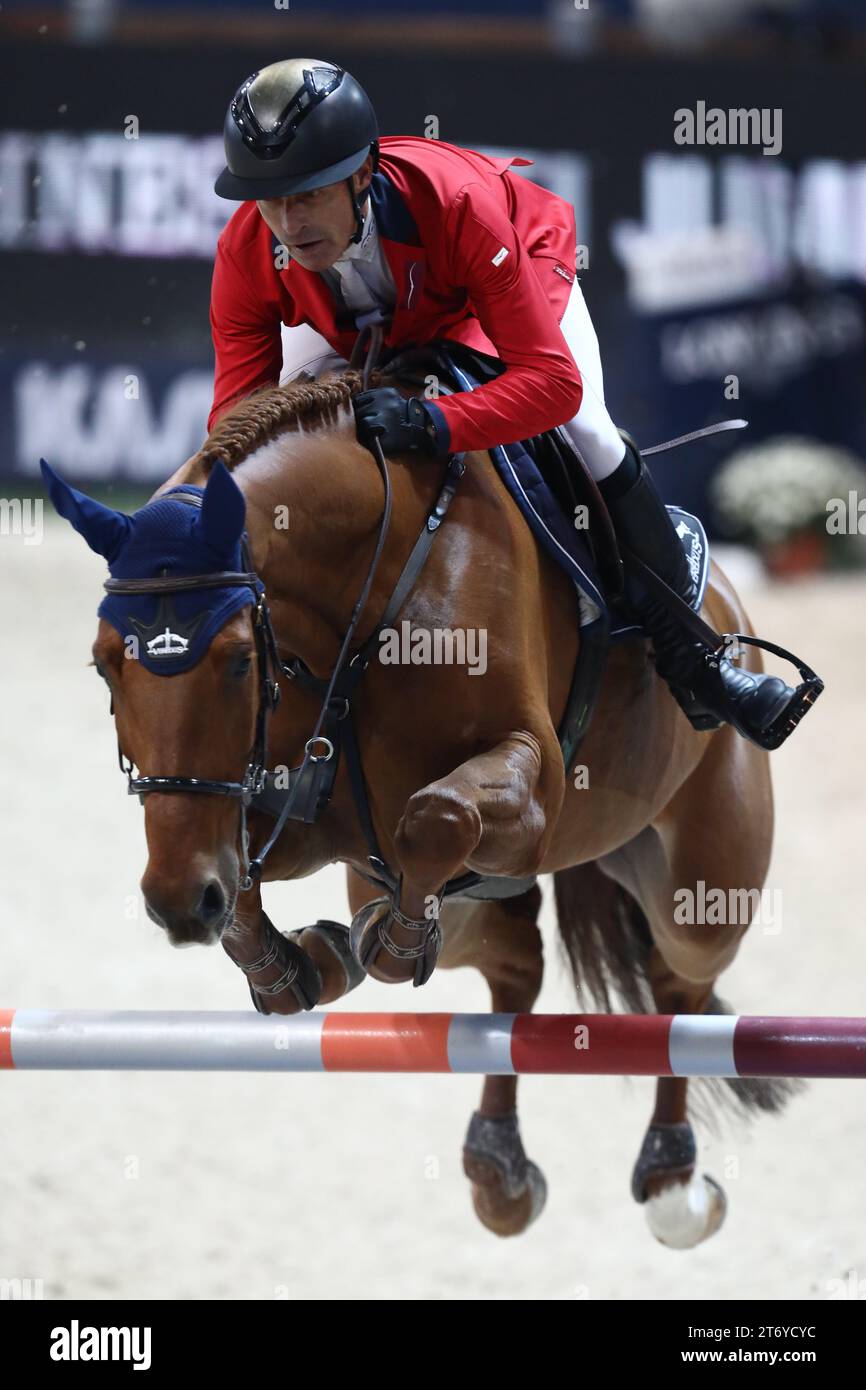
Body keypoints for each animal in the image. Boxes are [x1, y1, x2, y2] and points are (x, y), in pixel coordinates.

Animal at [44, 364, 800, 1245]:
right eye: (104, 664)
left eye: (236, 661)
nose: (175, 902)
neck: (367, 594)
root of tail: (726, 601)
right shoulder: (300, 817)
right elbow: (253, 869)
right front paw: (292, 964)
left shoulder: (531, 793)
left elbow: (435, 818)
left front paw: (390, 944)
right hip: (455, 899)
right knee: (514, 966)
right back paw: (492, 1158)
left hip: (700, 889)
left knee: (678, 985)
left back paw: (675, 1184)